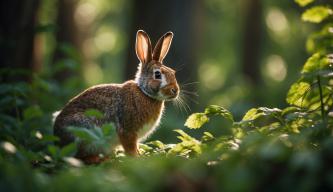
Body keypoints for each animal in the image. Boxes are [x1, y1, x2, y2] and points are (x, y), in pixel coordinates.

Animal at [53, 30, 179, 164]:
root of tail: (57, 140)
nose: (175, 90)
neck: (145, 93)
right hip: (84, 133)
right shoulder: (127, 131)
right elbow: (130, 148)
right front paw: (136, 159)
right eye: (157, 74)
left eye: (173, 72)